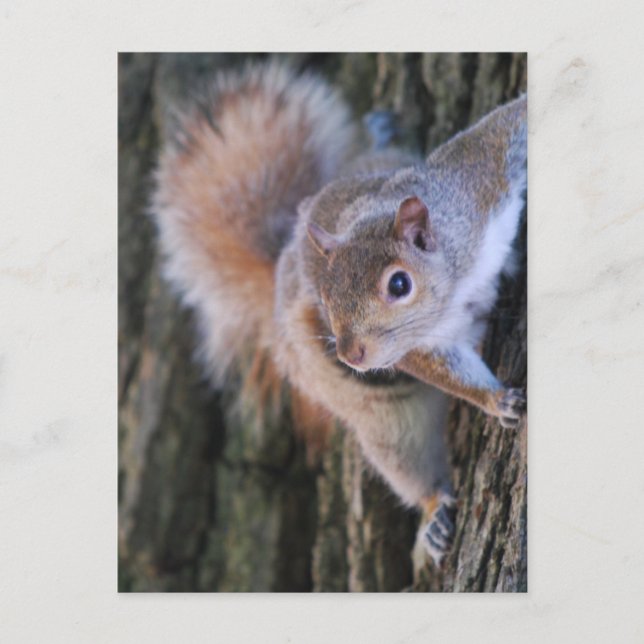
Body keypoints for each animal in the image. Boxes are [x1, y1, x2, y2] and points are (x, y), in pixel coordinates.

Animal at [152, 60, 527, 566]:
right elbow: (448, 371)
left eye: (399, 284)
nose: (353, 355)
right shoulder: (415, 345)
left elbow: (507, 131)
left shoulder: (479, 183)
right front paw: (496, 399)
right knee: (408, 461)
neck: (454, 287)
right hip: (380, 418)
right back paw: (433, 514)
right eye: (325, 301)